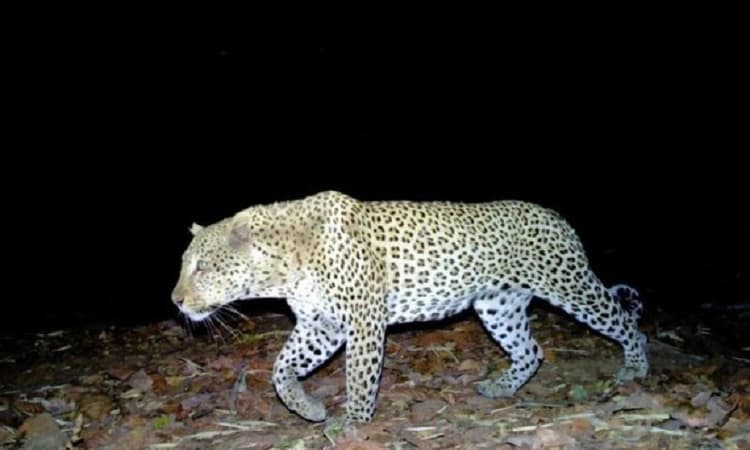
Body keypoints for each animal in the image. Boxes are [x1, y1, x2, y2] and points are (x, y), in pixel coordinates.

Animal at [170, 190, 648, 423]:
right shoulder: (321, 325)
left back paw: (635, 371)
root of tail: (556, 216)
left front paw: (353, 423)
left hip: (569, 285)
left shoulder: (363, 321)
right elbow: (281, 369)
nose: (175, 300)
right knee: (531, 351)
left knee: (626, 322)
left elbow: (359, 378)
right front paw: (308, 408)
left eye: (201, 267)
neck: (283, 267)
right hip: (499, 305)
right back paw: (501, 388)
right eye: (185, 265)